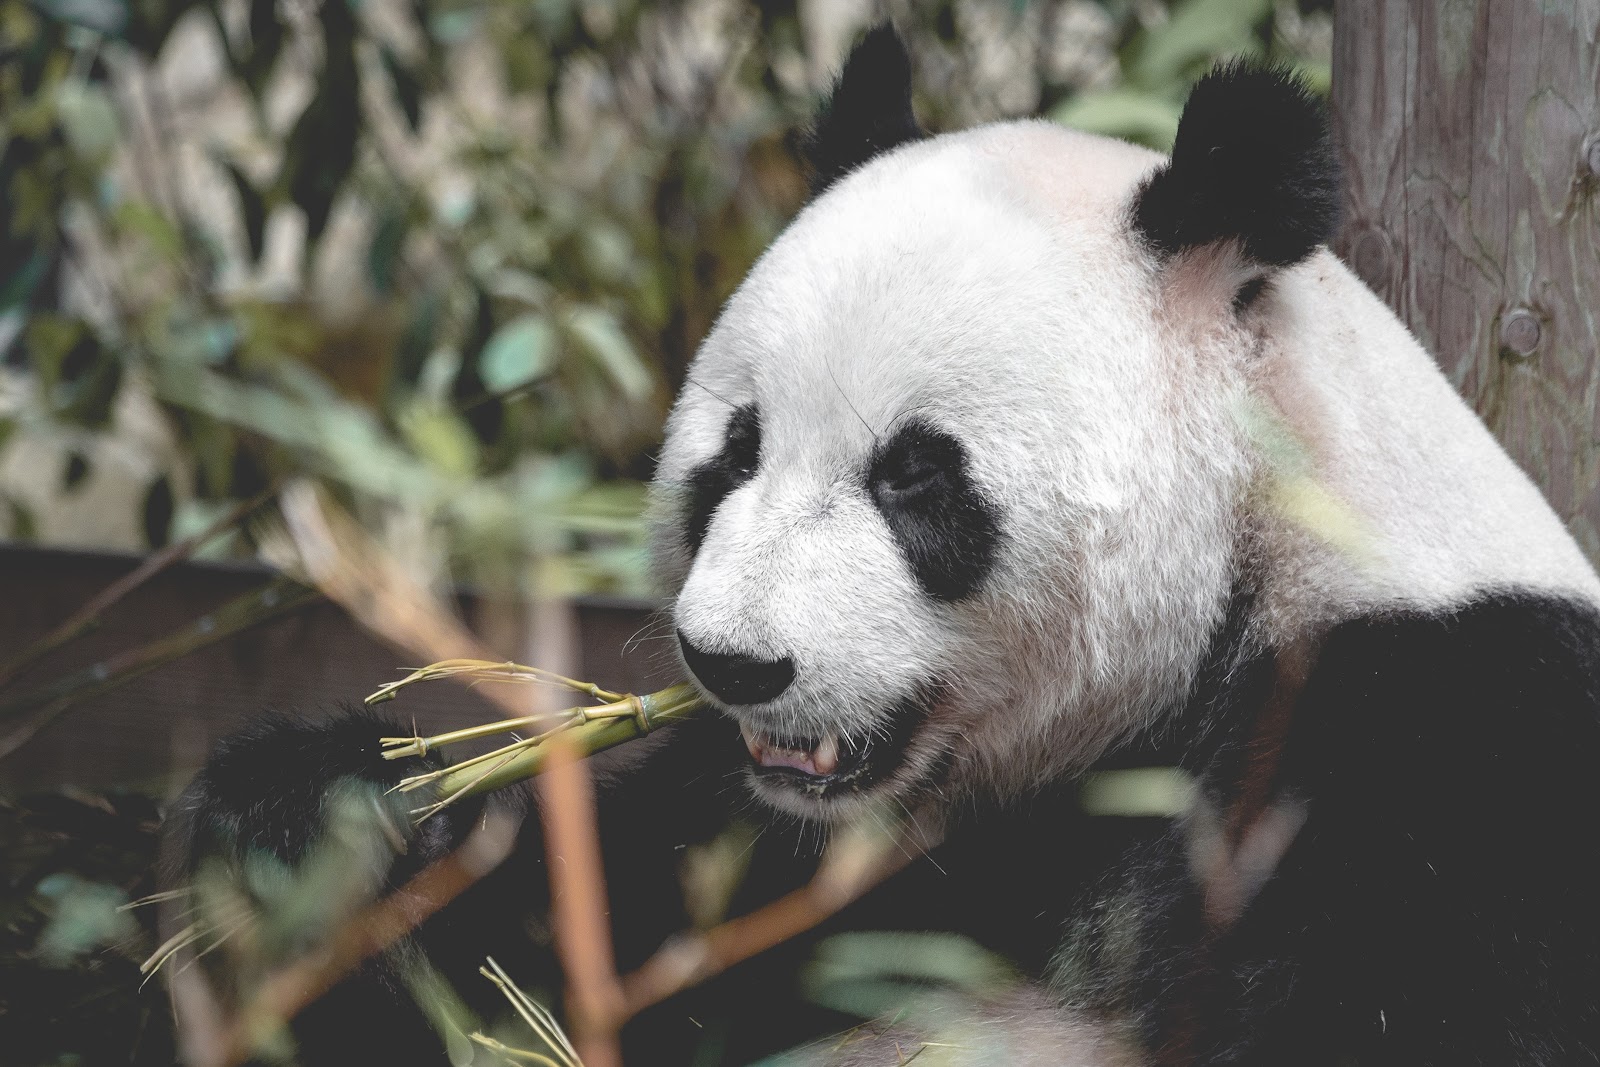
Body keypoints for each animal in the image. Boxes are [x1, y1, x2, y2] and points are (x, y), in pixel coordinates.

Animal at [165, 25, 1600, 1067]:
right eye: (734, 451)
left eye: (916, 476)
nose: (731, 662)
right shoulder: (806, 848)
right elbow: (560, 943)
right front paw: (323, 819)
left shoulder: (1440, 762)